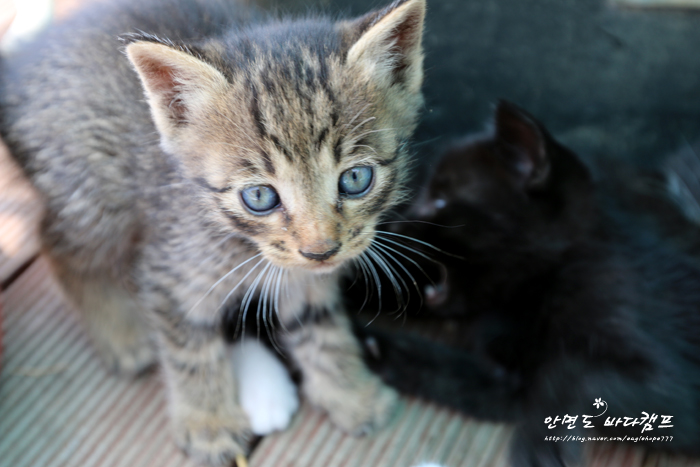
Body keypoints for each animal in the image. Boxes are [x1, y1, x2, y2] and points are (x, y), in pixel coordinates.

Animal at [0, 0, 426, 464]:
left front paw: (352, 394)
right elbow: (191, 351)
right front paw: (209, 424)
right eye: (259, 196)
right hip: (94, 195)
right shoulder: (171, 270)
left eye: (356, 179)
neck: (243, 243)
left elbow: (322, 328)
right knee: (54, 239)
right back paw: (121, 334)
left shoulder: (304, 277)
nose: (320, 250)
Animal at [360, 102, 700, 467]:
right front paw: (366, 349)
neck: (536, 290)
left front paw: (539, 446)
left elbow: (572, 373)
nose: (392, 227)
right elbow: (441, 368)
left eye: (440, 201)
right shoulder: (504, 383)